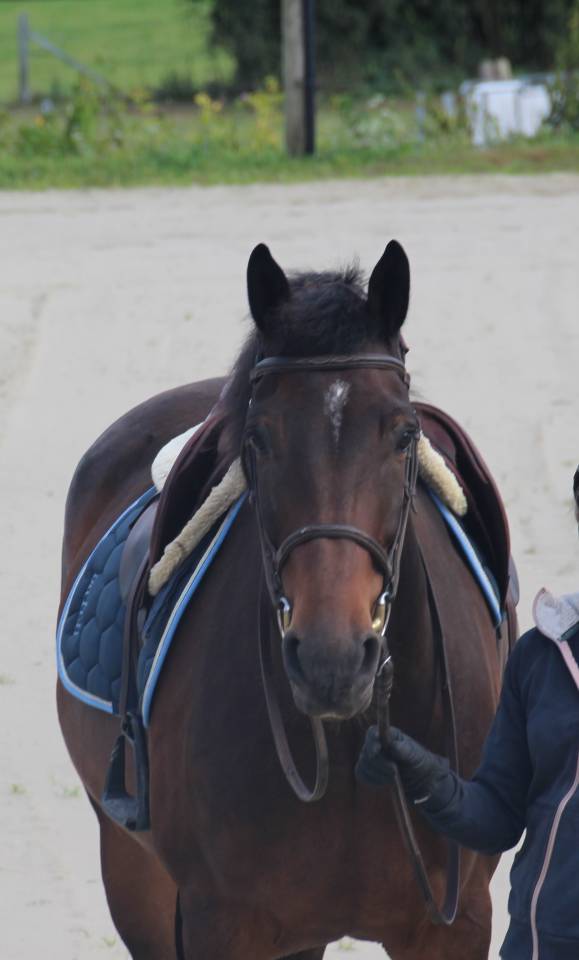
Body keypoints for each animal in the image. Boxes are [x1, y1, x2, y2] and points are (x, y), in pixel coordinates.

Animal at [57, 240, 506, 959]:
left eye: (403, 434)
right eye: (258, 439)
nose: (331, 662)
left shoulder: (456, 923)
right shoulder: (218, 921)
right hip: (133, 875)